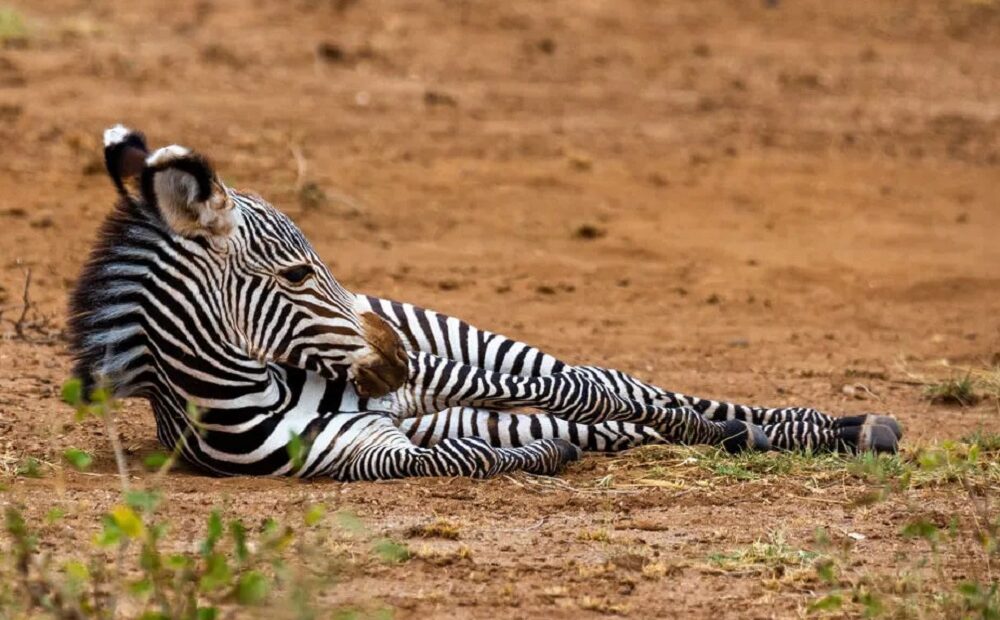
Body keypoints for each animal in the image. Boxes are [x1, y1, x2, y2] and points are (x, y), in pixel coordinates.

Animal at [66, 126, 904, 482]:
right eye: (298, 275)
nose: (394, 355)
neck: (251, 393)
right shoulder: (379, 448)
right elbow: (468, 453)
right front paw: (536, 454)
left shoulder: (427, 389)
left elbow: (592, 395)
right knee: (615, 412)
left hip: (469, 350)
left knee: (616, 384)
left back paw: (832, 426)